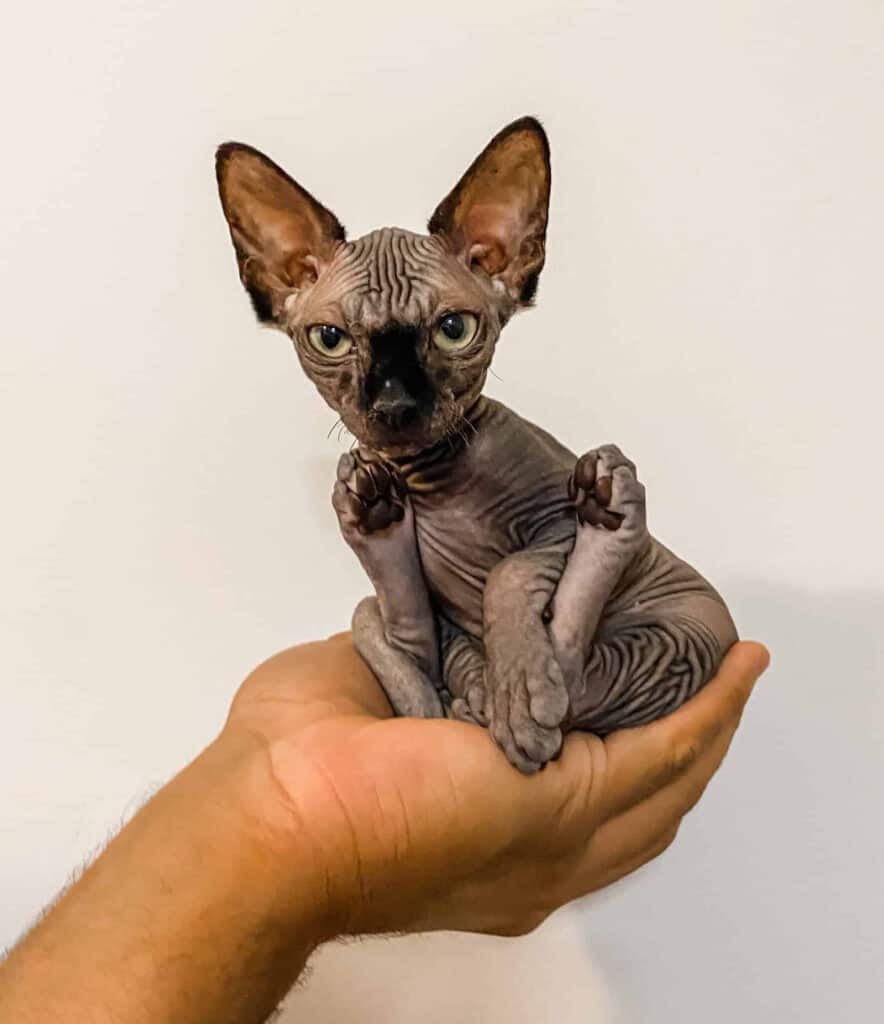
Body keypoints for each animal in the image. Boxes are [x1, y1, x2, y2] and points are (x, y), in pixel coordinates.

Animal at [216, 116, 741, 770]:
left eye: (453, 329)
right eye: (330, 338)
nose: (394, 404)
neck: (432, 479)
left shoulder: (553, 524)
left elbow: (507, 573)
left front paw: (523, 696)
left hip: (686, 630)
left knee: (575, 672)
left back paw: (604, 523)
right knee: (407, 633)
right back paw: (379, 526)